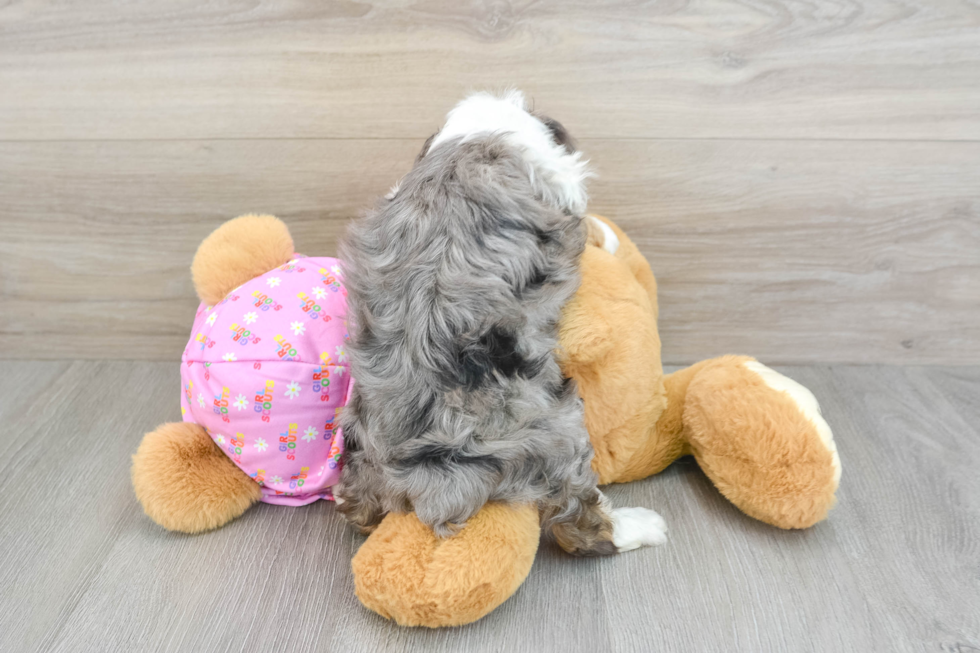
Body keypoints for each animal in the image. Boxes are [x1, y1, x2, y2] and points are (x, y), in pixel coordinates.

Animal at [336, 91, 668, 556]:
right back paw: (639, 526)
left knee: (356, 507)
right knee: (579, 522)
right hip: (559, 429)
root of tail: (426, 474)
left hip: (357, 440)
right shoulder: (559, 181)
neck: (474, 137)